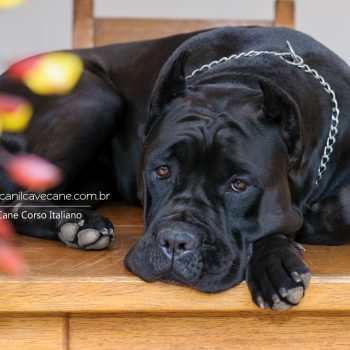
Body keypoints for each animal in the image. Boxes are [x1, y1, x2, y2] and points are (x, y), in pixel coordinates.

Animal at [0, 27, 350, 310]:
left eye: (239, 185)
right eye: (162, 171)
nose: (175, 241)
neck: (242, 76)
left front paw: (276, 261)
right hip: (97, 100)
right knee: (20, 203)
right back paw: (79, 224)